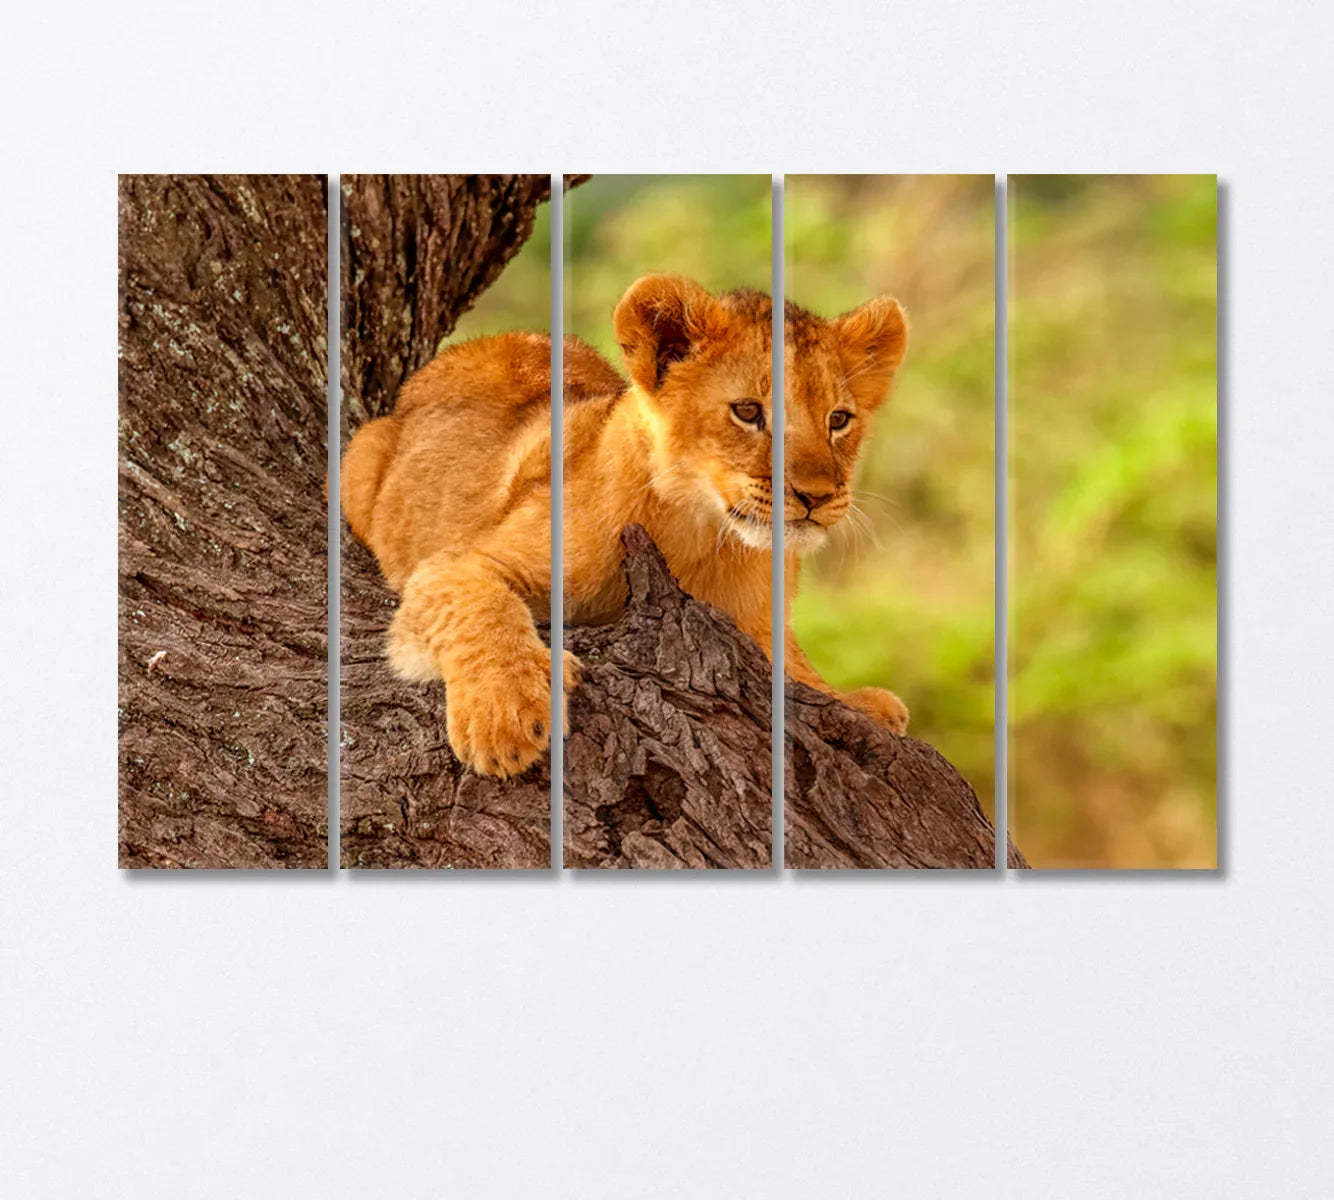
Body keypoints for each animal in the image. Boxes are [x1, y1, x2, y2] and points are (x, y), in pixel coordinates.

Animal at [341, 274, 909, 778]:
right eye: (749, 412)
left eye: (839, 420)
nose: (817, 496)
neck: (703, 540)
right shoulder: (456, 564)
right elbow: (482, 606)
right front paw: (506, 717)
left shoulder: (760, 625)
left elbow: (797, 667)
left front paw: (858, 702)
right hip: (359, 455)